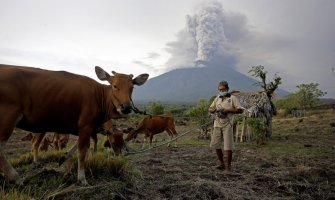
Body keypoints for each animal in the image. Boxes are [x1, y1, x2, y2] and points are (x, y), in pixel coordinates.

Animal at [0, 64, 148, 184]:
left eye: (132, 87)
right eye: (115, 86)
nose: (126, 107)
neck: (99, 96)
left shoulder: (86, 129)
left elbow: (78, 147)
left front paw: (63, 158)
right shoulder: (86, 126)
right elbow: (82, 150)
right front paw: (81, 178)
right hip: (8, 118)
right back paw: (16, 177)